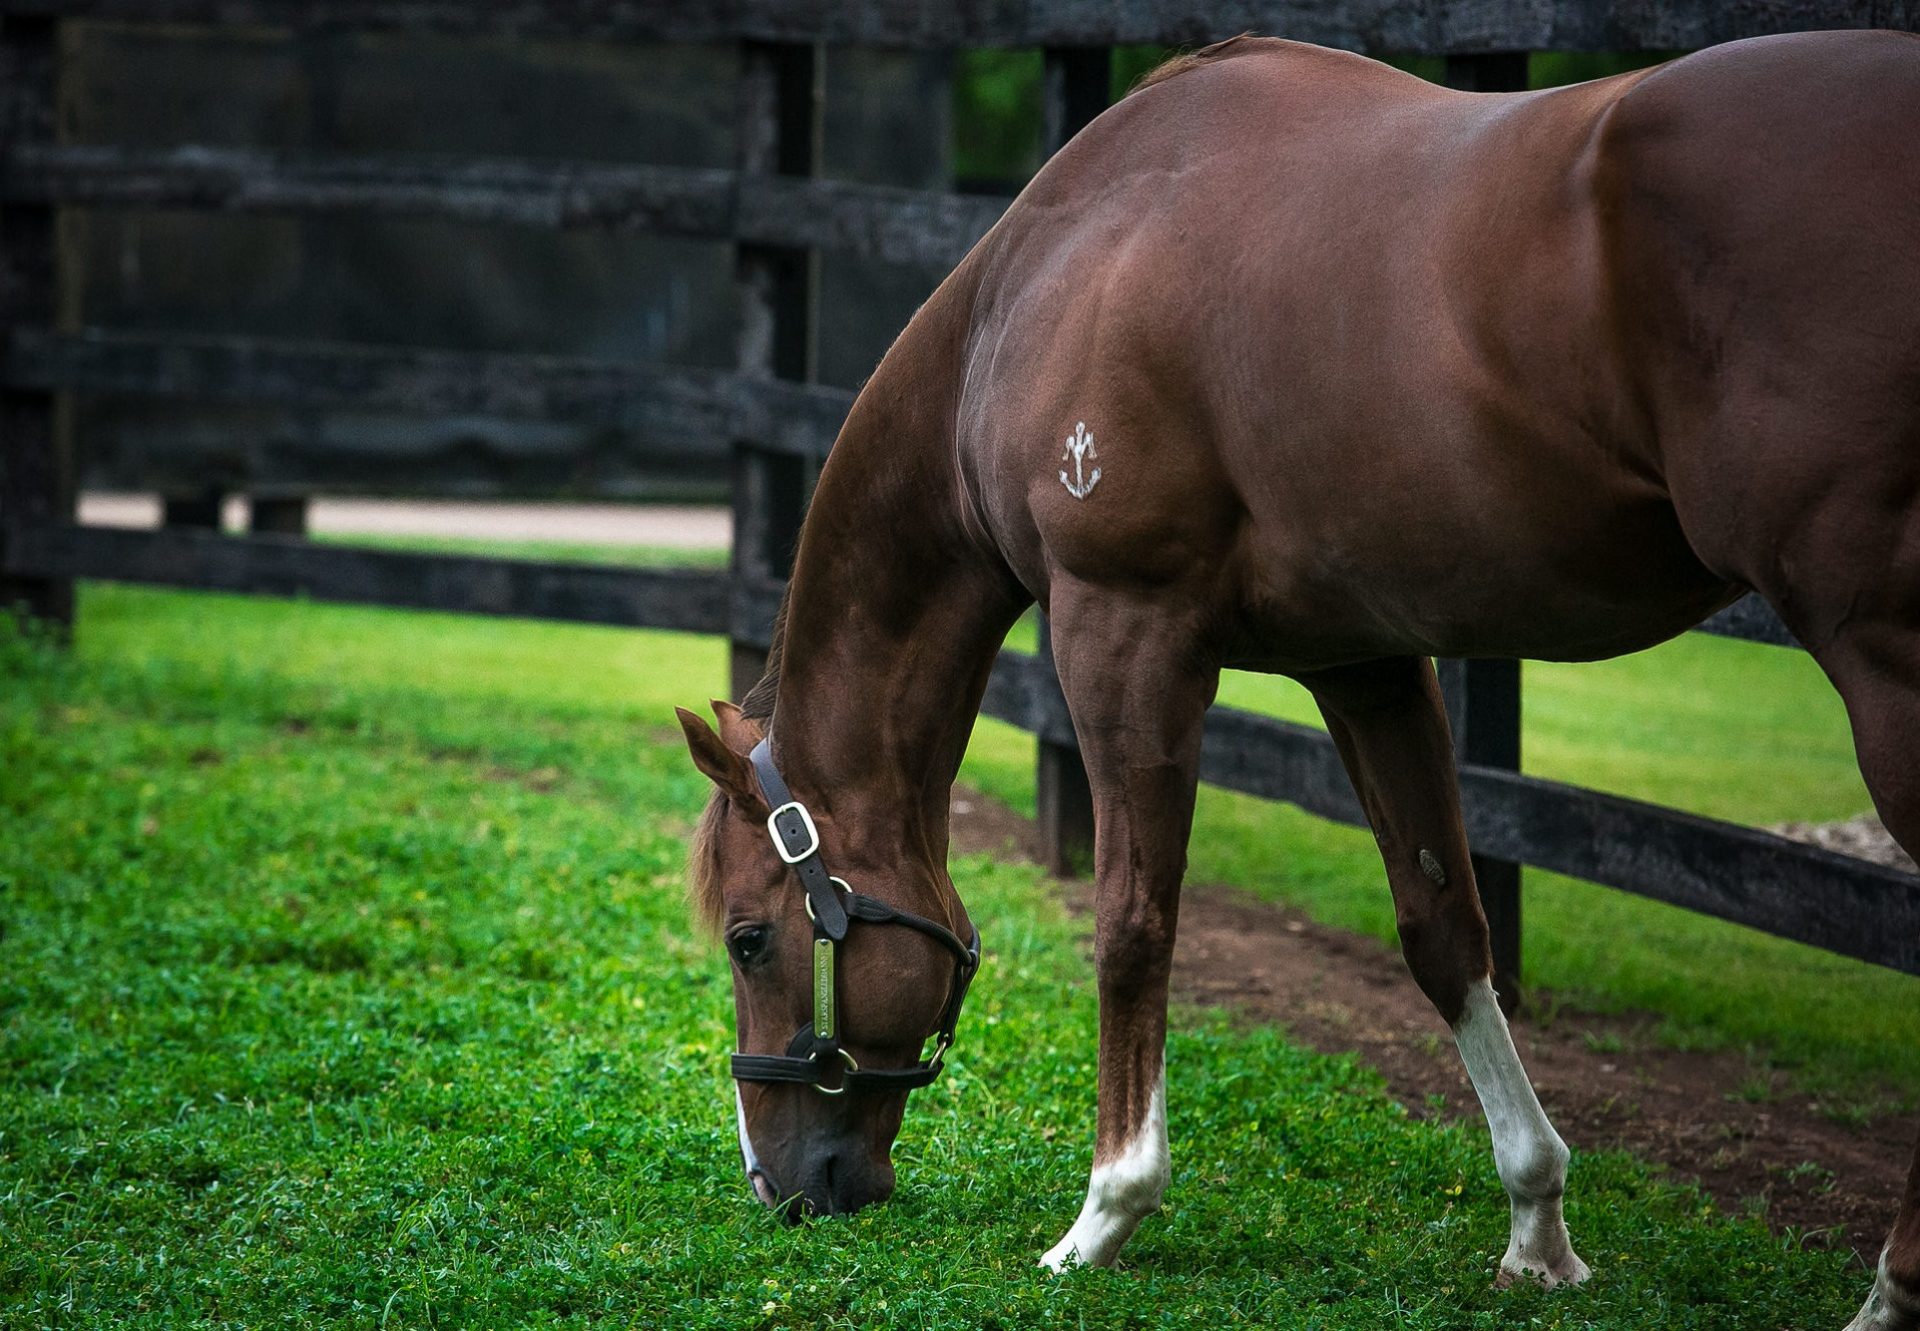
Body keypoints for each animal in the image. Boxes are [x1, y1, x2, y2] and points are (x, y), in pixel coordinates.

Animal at [679, 33, 1920, 1329]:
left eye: (751, 939)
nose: (777, 1182)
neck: (1050, 281)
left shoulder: (1125, 628)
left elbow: (1132, 919)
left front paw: (1105, 1212)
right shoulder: (1365, 659)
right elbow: (1443, 927)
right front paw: (1537, 1222)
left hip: (1881, 653)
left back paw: (1890, 1291)